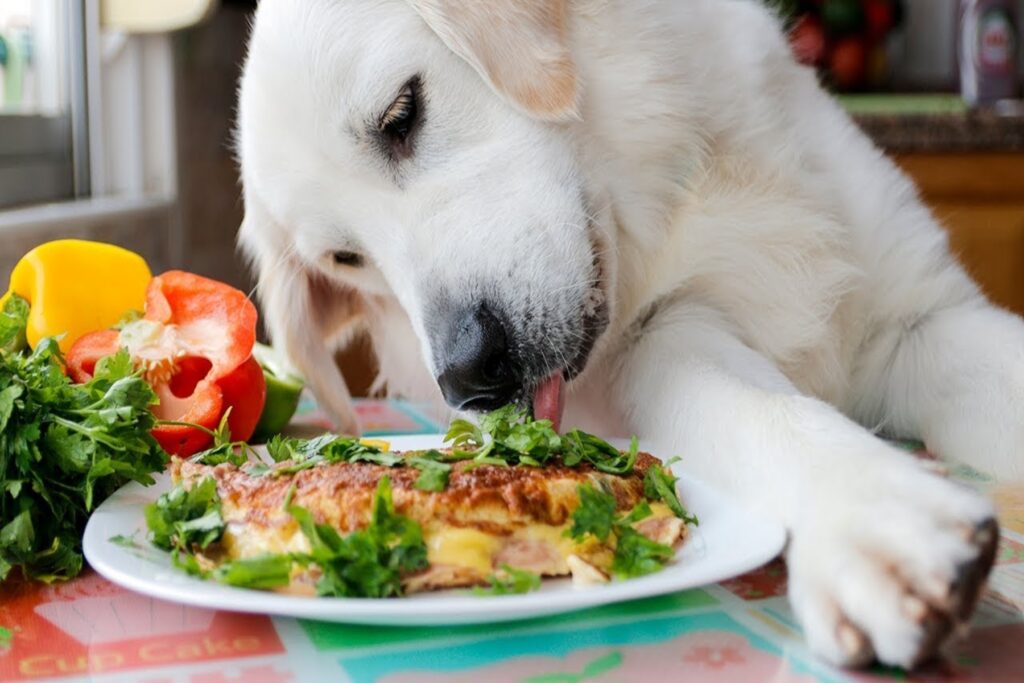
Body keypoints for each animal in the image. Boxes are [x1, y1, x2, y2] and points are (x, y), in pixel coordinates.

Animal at [234, 0, 1015, 671]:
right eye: (347, 258)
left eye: (402, 114)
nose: (469, 376)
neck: (681, 196)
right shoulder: (664, 344)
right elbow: (766, 416)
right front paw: (875, 517)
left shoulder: (922, 321)